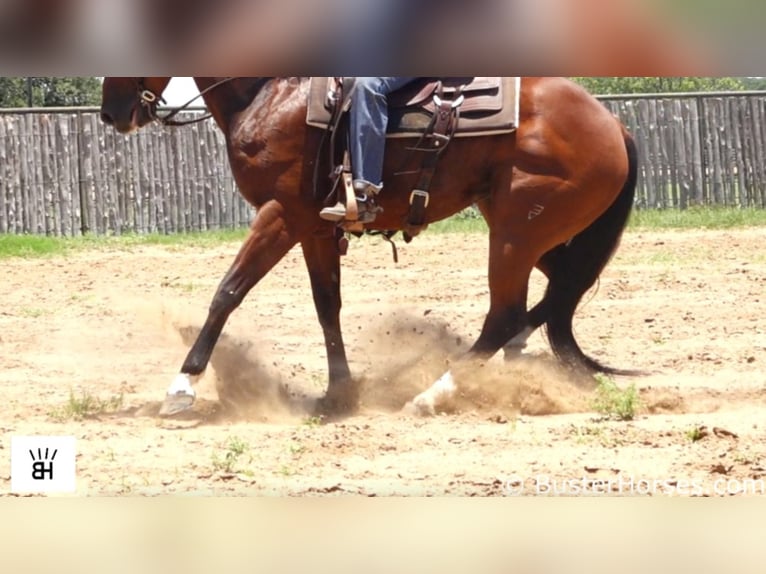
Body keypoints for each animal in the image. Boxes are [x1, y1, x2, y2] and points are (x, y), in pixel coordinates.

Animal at [102, 76, 640, 418]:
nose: (112, 111)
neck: (271, 92)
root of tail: (614, 124)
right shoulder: (315, 229)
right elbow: (327, 306)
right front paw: (339, 393)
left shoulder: (281, 214)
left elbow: (227, 293)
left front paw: (181, 387)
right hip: (535, 237)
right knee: (552, 299)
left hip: (514, 234)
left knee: (506, 315)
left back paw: (432, 395)